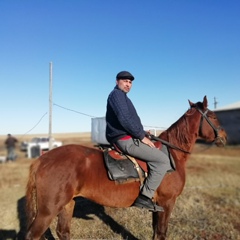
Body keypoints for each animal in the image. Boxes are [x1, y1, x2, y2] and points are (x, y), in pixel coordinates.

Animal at [24, 96, 227, 240]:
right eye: (213, 116)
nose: (224, 137)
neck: (172, 154)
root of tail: (42, 159)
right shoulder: (167, 202)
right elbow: (161, 232)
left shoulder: (158, 206)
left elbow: (156, 232)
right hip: (48, 210)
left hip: (67, 204)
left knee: (63, 232)